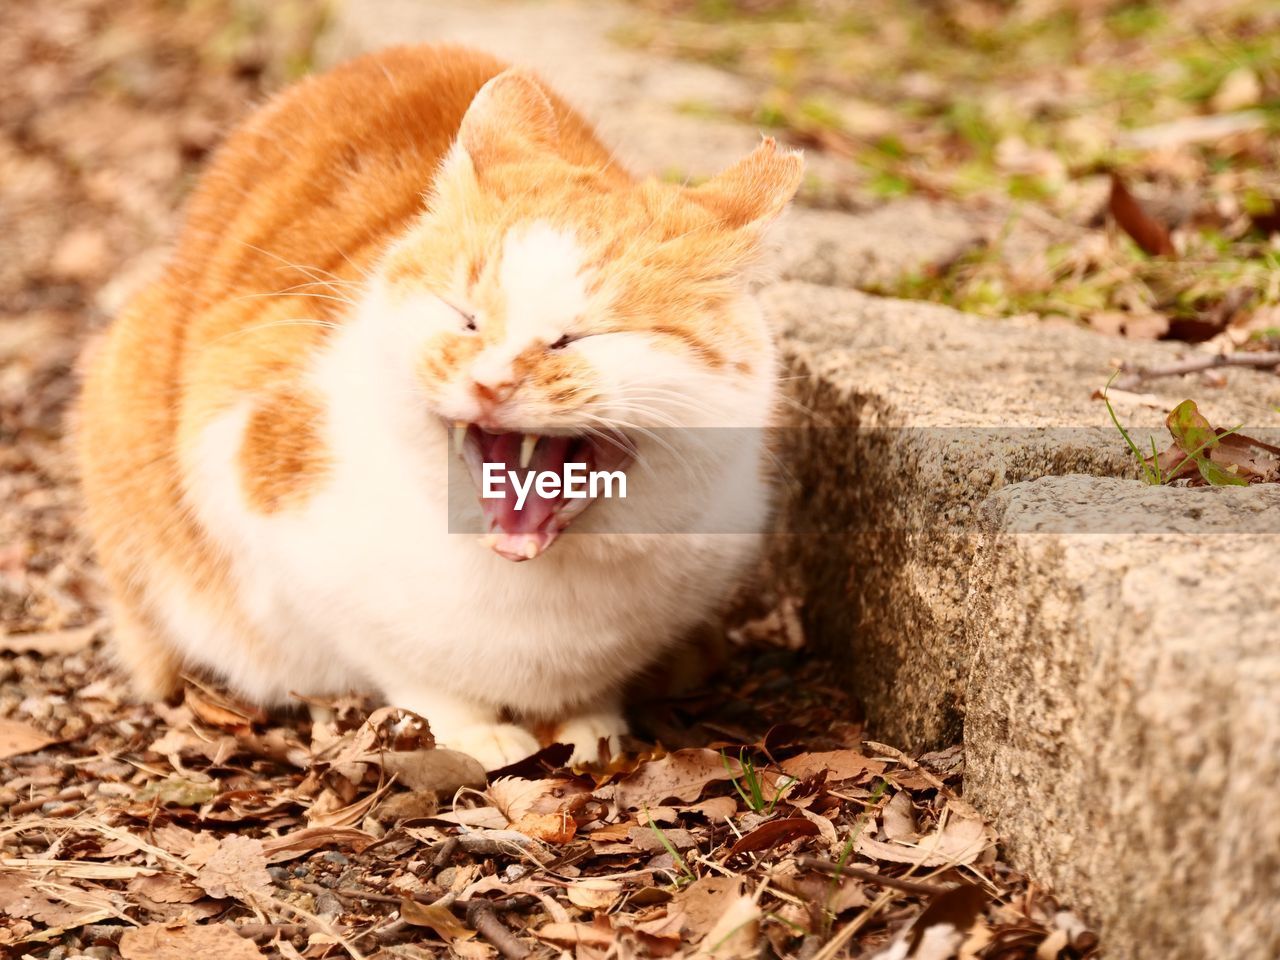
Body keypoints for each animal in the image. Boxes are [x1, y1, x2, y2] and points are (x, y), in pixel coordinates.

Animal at [74, 45, 798, 773]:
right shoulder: (246, 461)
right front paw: (470, 732)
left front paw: (589, 726)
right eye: (466, 319)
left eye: (577, 339)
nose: (490, 381)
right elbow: (407, 667)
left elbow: (593, 691)